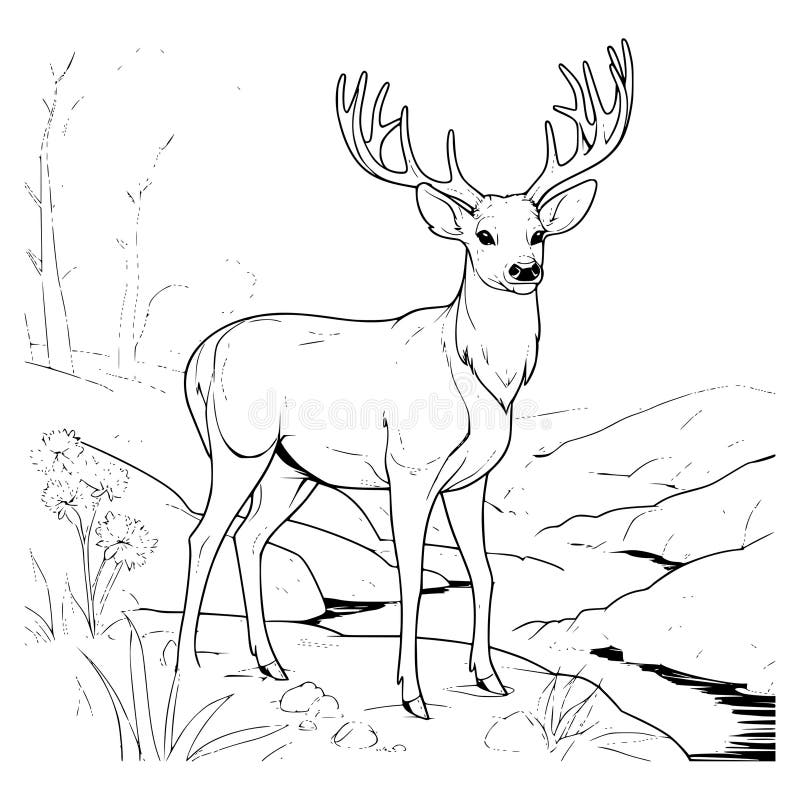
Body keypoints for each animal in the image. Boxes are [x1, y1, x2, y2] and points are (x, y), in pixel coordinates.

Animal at [175, 41, 633, 720]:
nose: (525, 269)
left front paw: (490, 678)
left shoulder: (471, 479)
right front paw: (413, 695)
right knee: (204, 536)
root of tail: (200, 359)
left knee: (250, 536)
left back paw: (272, 664)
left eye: (539, 232)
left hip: (291, 467)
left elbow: (484, 572)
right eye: (482, 234)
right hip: (239, 445)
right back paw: (188, 663)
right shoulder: (408, 466)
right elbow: (412, 577)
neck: (478, 381)